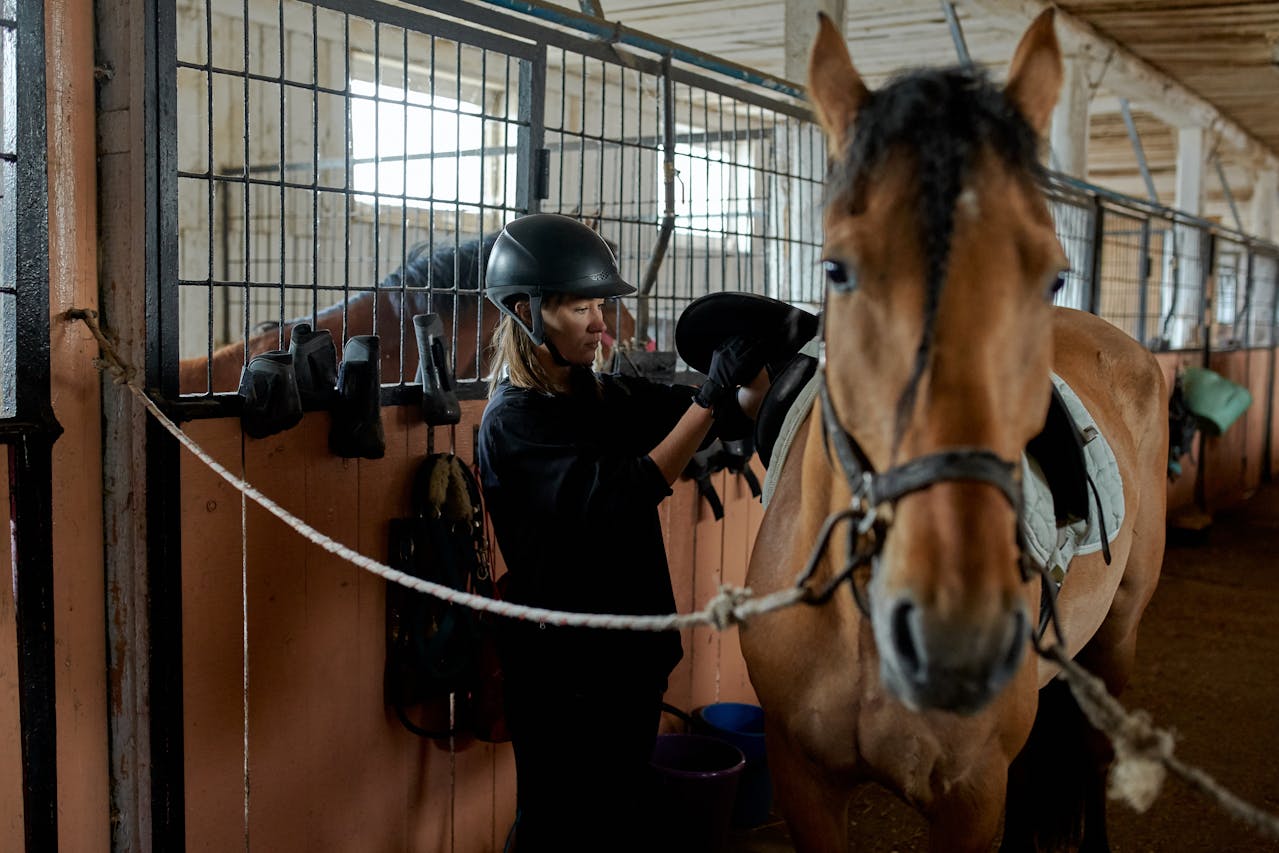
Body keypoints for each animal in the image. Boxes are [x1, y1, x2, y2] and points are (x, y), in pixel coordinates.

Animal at [739, 11, 1167, 851]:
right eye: (835, 269)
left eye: (1052, 273)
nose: (955, 639)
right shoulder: (802, 781)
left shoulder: (970, 797)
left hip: (1120, 636)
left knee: (1095, 752)